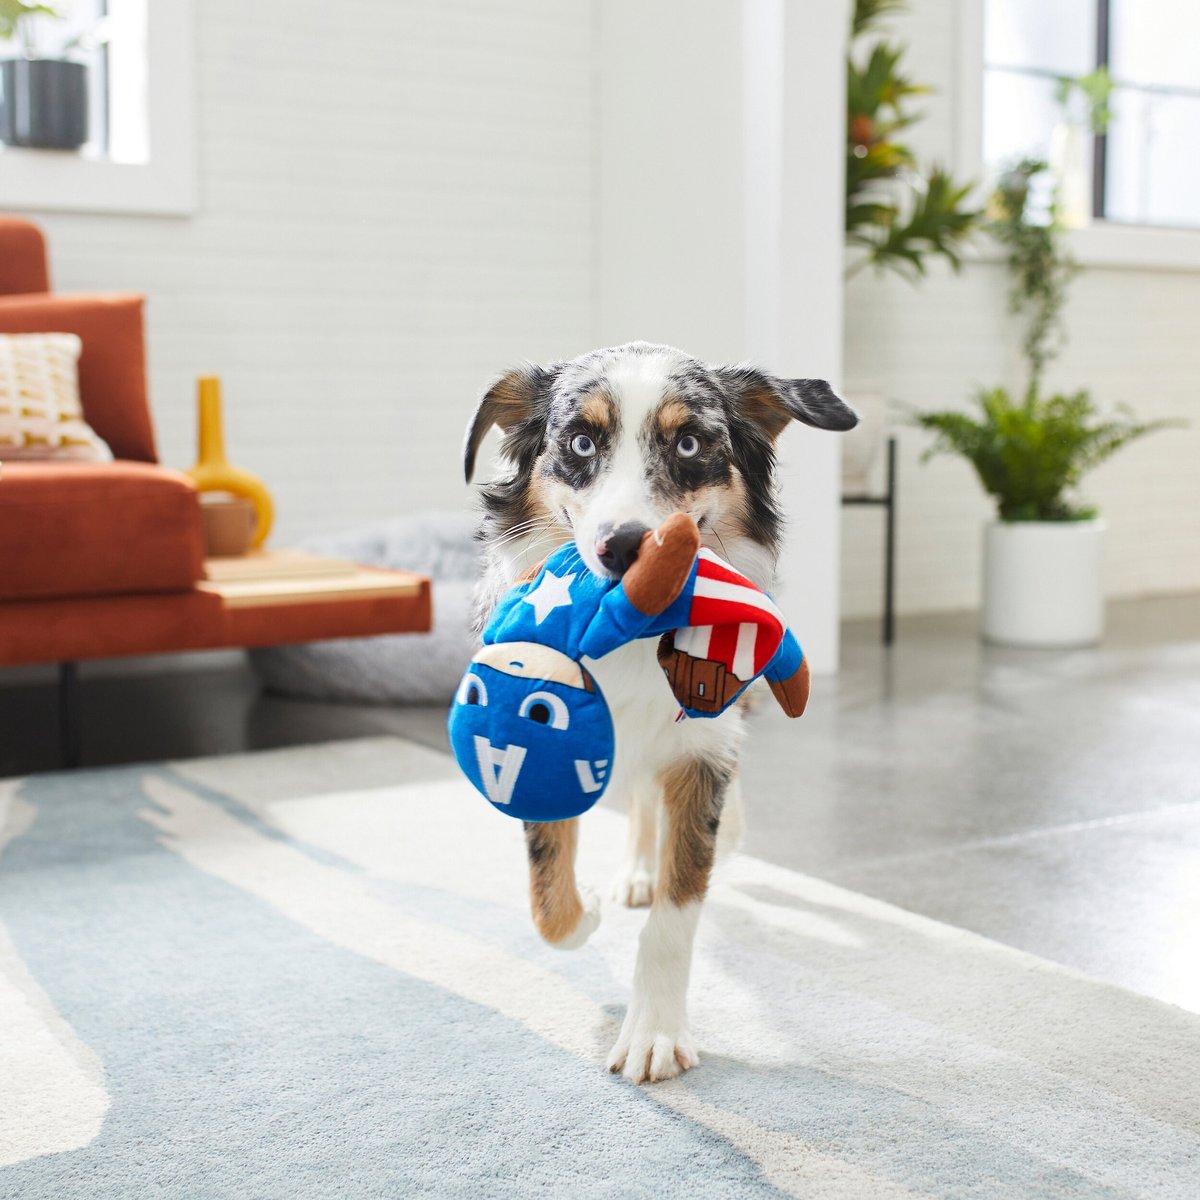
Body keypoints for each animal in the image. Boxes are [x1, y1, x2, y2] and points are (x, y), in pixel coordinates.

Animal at [463, 343, 859, 1084]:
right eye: (580, 442)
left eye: (690, 443)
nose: (625, 548)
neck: (631, 637)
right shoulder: (537, 727)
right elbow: (547, 895)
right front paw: (586, 909)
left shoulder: (702, 745)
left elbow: (678, 909)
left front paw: (655, 1033)